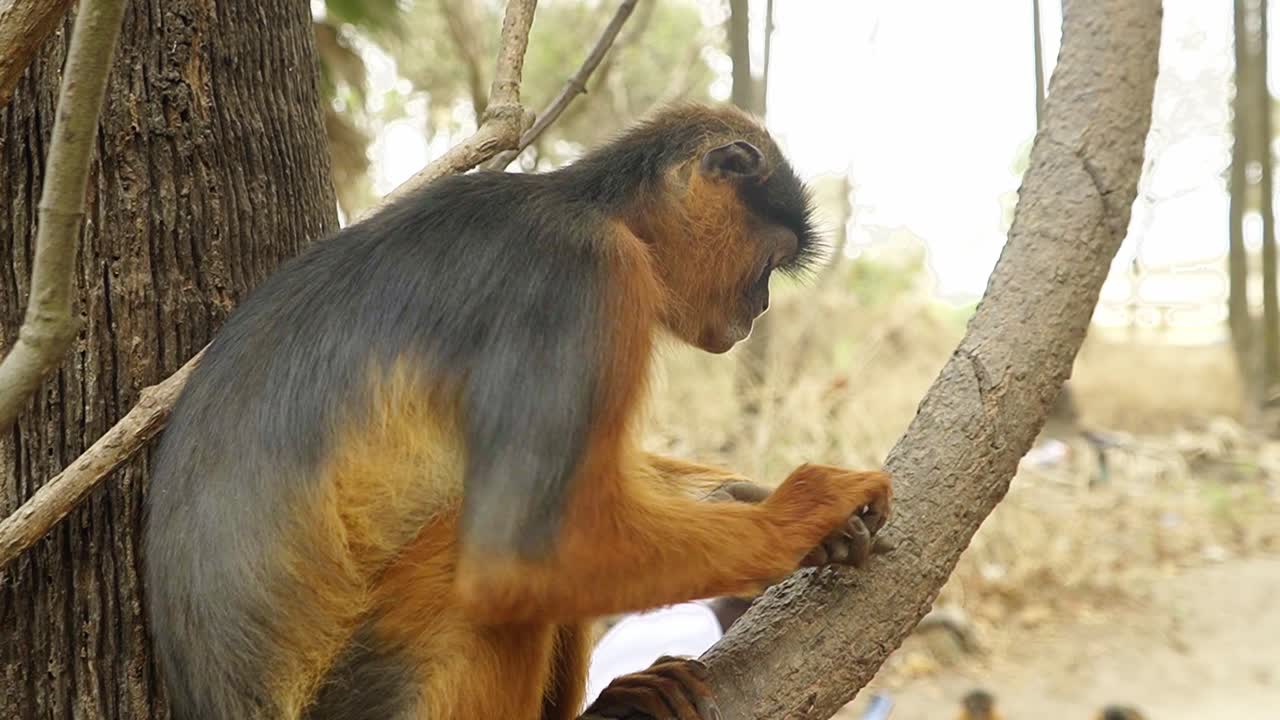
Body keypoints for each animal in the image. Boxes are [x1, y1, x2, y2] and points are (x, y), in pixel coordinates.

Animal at [143, 102, 893, 720]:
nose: (759, 307)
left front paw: (742, 497)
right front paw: (797, 514)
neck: (588, 203)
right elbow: (518, 556)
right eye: (766, 267)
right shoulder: (582, 273)